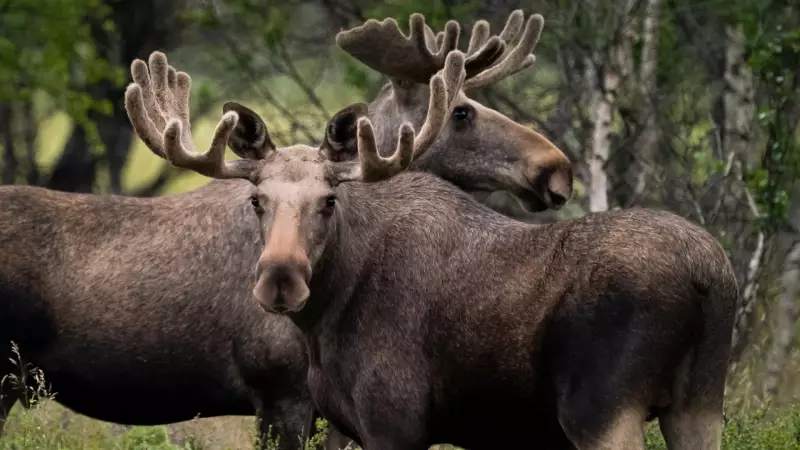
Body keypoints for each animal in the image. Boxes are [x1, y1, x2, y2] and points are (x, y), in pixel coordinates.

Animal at [153, 39, 739, 450]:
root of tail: (708, 275)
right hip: (699, 405)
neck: (327, 314)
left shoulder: (394, 422)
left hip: (603, 411)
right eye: (256, 200)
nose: (281, 279)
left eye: (329, 200)